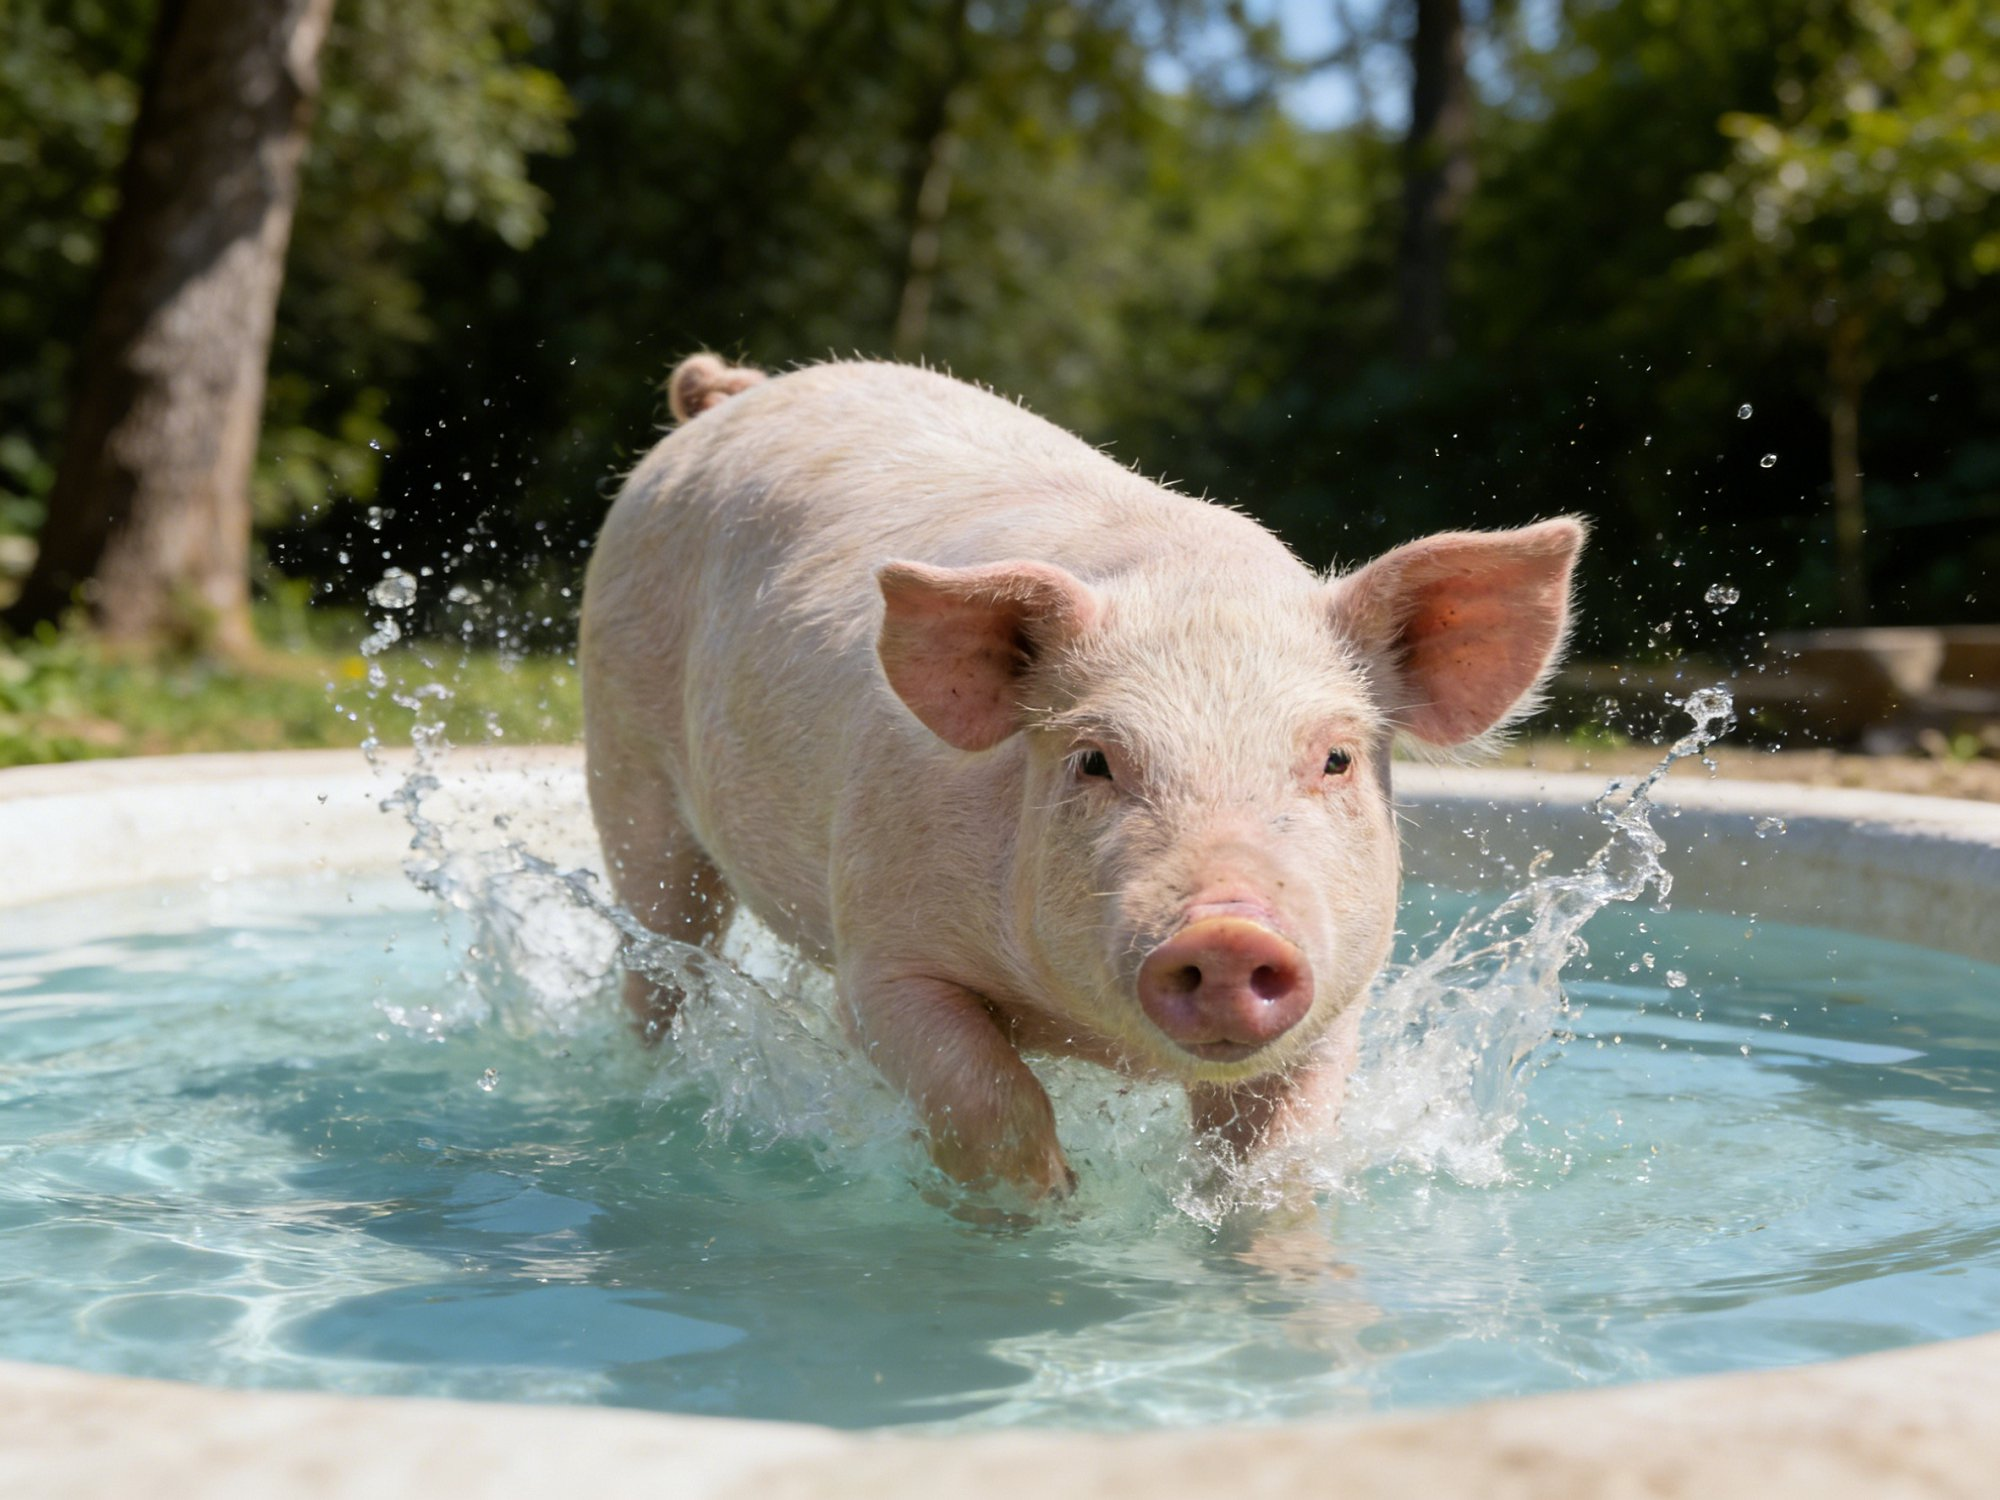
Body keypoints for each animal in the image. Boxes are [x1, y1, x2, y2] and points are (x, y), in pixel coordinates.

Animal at [580, 354, 1583, 1198]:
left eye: (1334, 757)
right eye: (1095, 760)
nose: (1226, 927)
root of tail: (733, 394)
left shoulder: (1338, 1002)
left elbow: (1276, 1154)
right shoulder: (882, 952)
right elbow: (981, 1092)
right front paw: (1052, 1206)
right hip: (623, 754)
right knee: (658, 954)